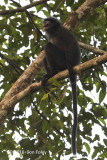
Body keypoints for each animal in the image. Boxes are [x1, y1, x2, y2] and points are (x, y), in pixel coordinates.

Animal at [41, 17, 80, 154]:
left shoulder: (62, 33)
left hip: (62, 62)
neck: (54, 32)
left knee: (47, 47)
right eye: (45, 21)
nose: (45, 23)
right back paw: (47, 76)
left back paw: (53, 72)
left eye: (49, 21)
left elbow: (70, 46)